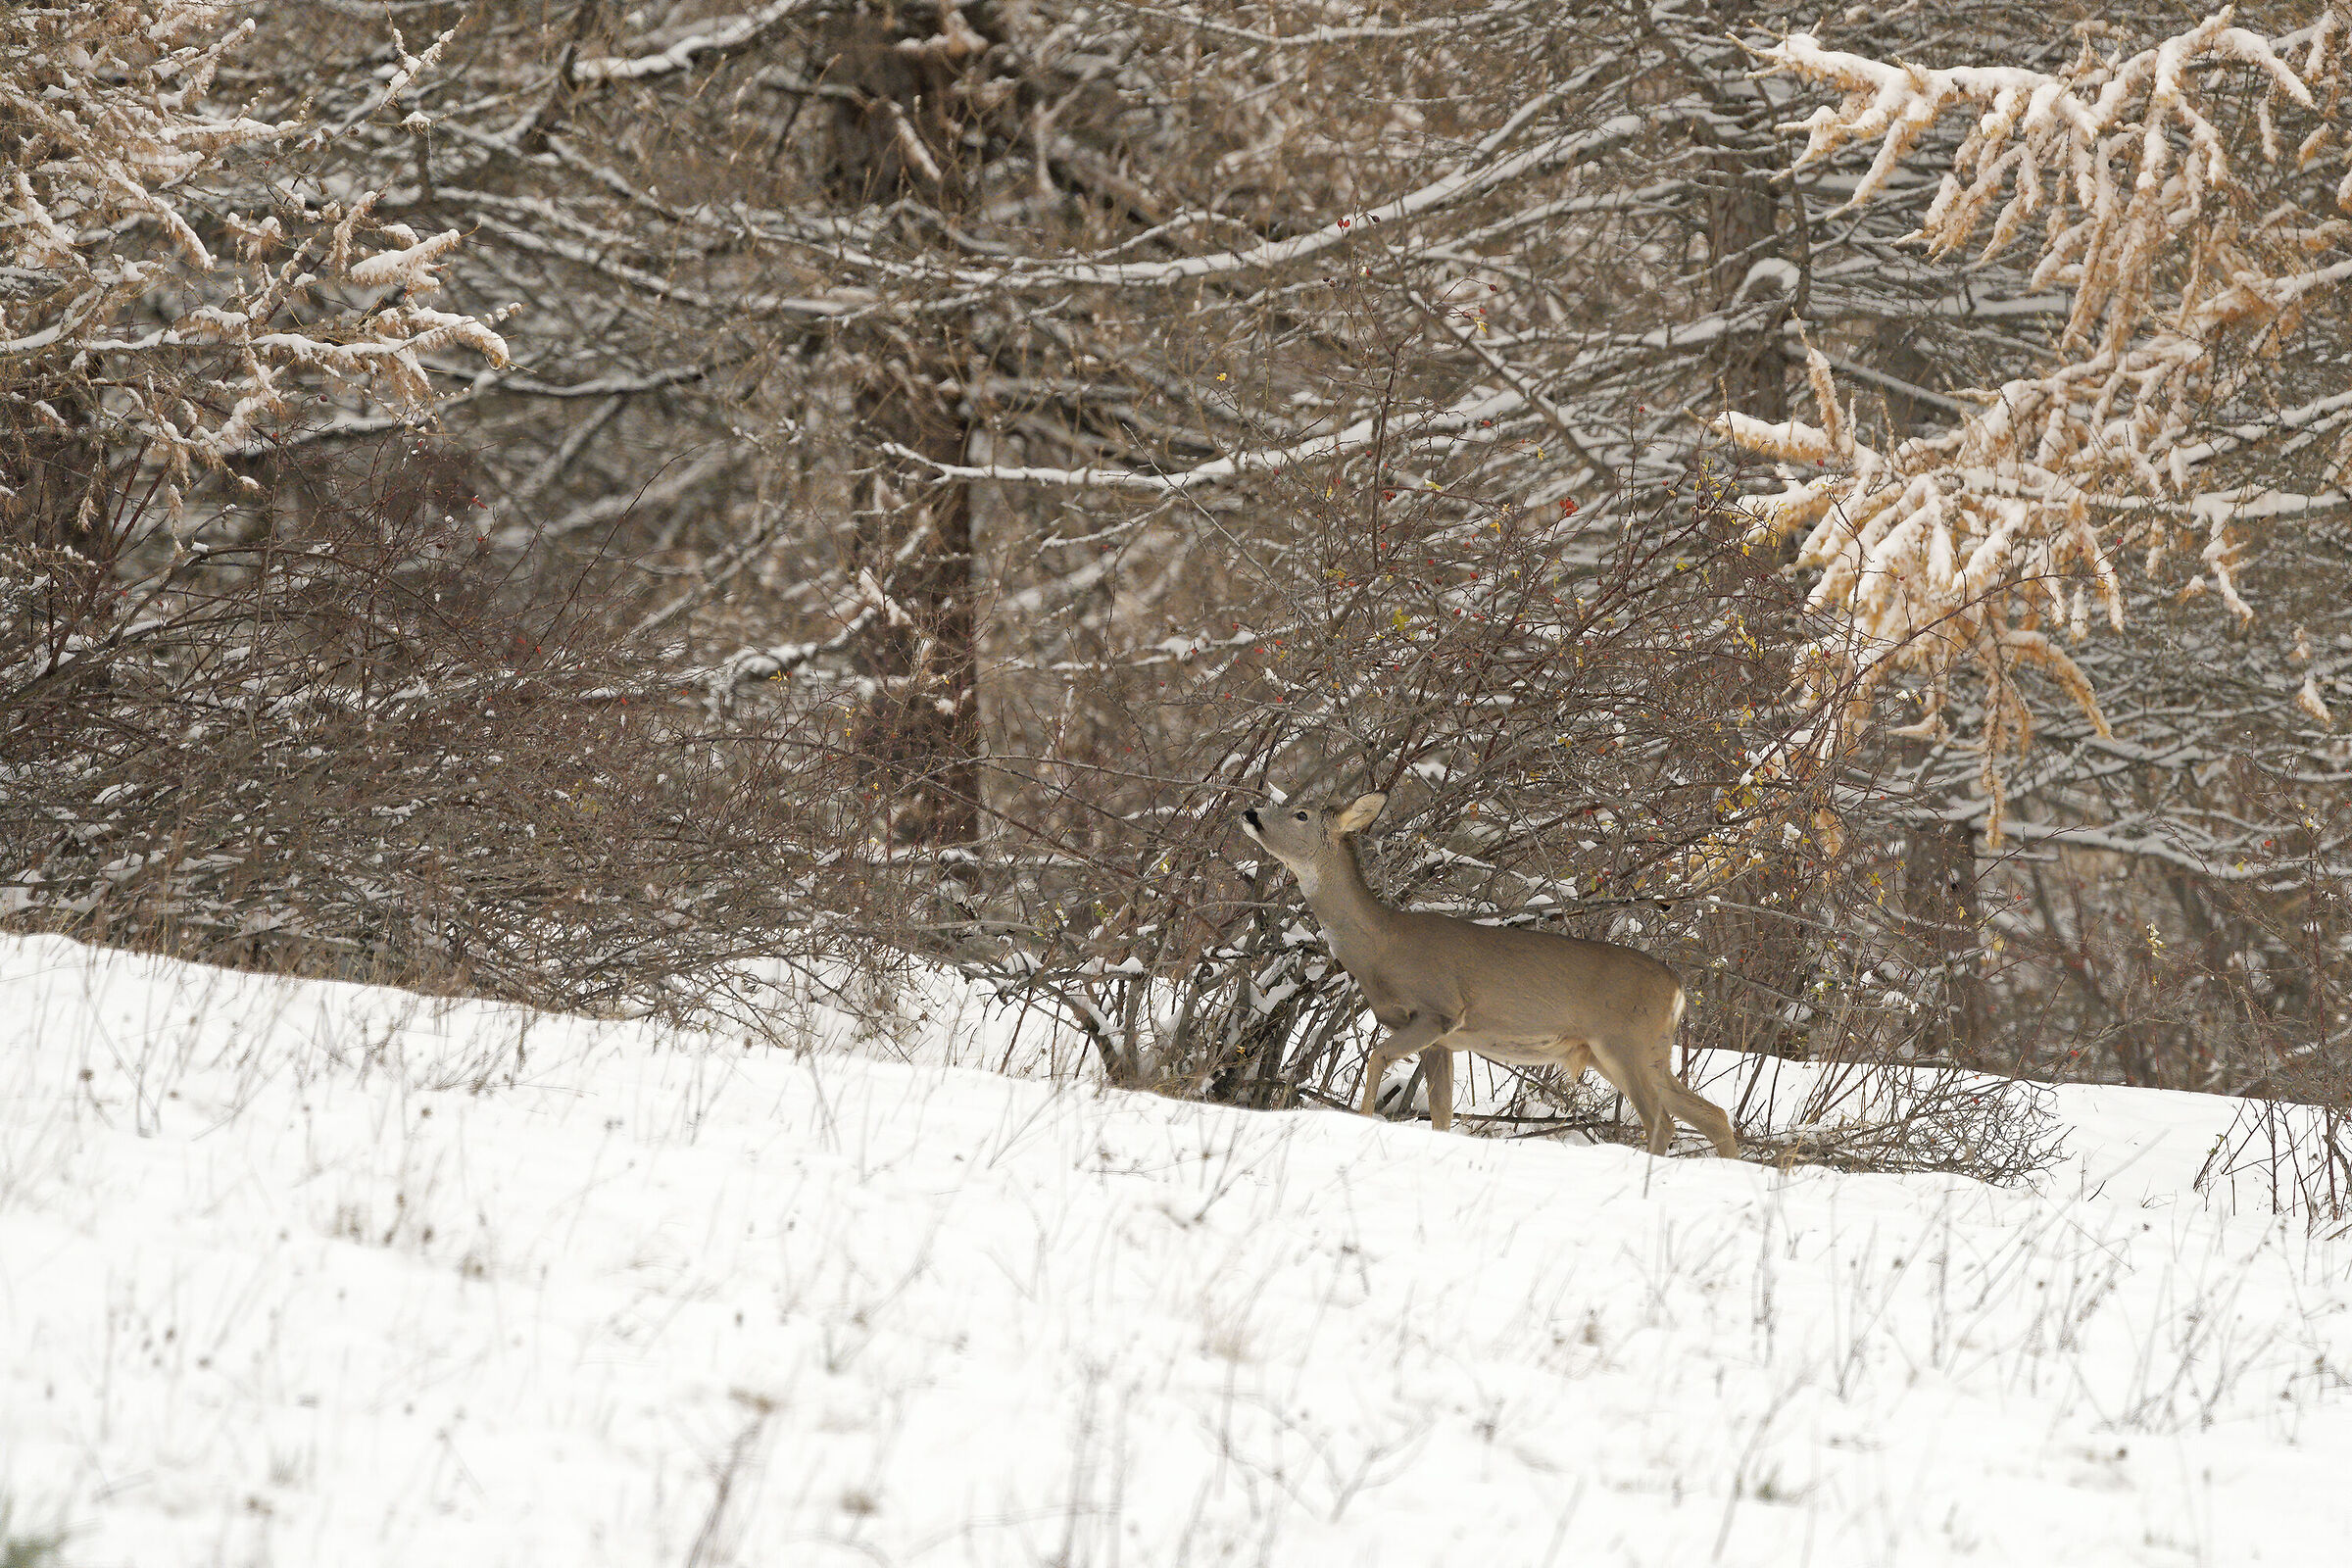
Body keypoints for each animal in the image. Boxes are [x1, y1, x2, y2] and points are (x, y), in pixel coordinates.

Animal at [1239, 792, 1738, 1157]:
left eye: (1300, 814)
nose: (1249, 812)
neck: (1382, 945)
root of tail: (1678, 987)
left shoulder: (1438, 1010)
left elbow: (1378, 1057)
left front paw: (1360, 1125)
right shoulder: (1442, 1040)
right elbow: (1441, 1112)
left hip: (1626, 1042)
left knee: (1662, 1119)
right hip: (1637, 1052)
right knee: (1711, 1115)